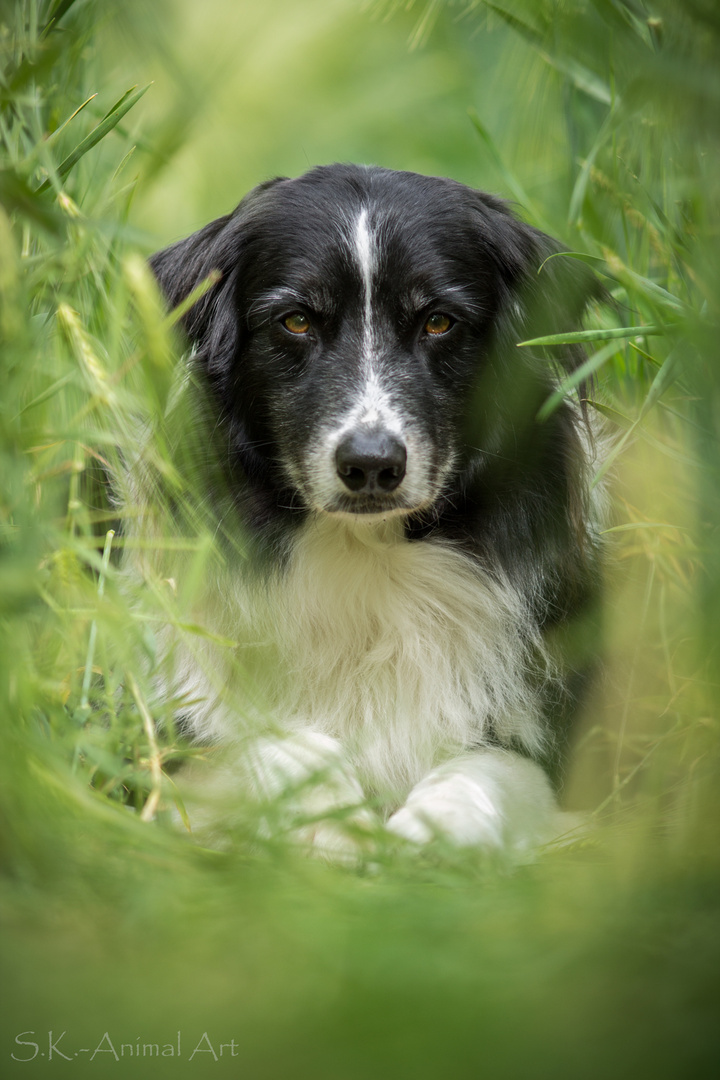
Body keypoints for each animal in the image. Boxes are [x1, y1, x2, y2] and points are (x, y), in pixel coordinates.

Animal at [133, 164, 604, 855]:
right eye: (296, 321)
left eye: (438, 322)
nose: (372, 465)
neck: (368, 550)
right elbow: (259, 747)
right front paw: (328, 816)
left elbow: (491, 766)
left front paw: (436, 830)